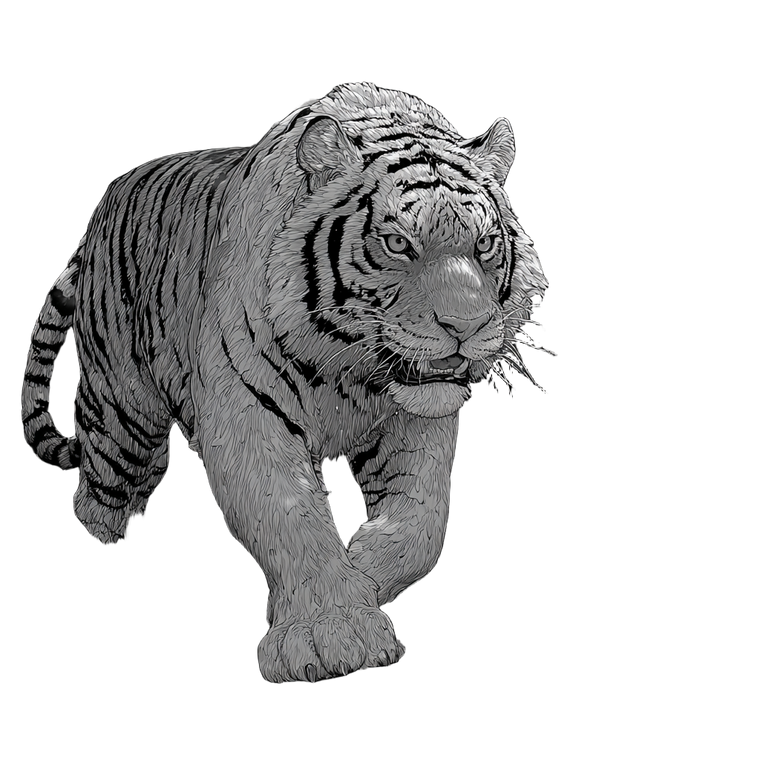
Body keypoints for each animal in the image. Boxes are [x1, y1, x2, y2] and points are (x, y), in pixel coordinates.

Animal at [19, 80, 553, 684]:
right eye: (397, 244)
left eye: (484, 244)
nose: (465, 327)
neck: (353, 370)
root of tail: (111, 193)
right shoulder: (247, 414)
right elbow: (290, 515)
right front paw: (331, 634)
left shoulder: (414, 424)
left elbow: (421, 525)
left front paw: (354, 580)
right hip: (118, 420)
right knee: (94, 499)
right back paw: (109, 540)